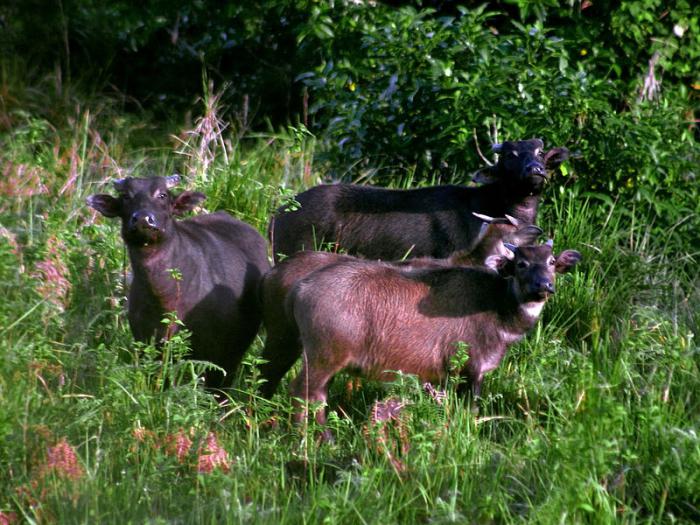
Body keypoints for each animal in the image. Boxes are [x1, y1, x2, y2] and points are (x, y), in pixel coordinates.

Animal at [87, 174, 270, 386]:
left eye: (163, 195)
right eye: (126, 196)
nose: (142, 219)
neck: (164, 297)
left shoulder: (214, 352)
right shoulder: (147, 345)